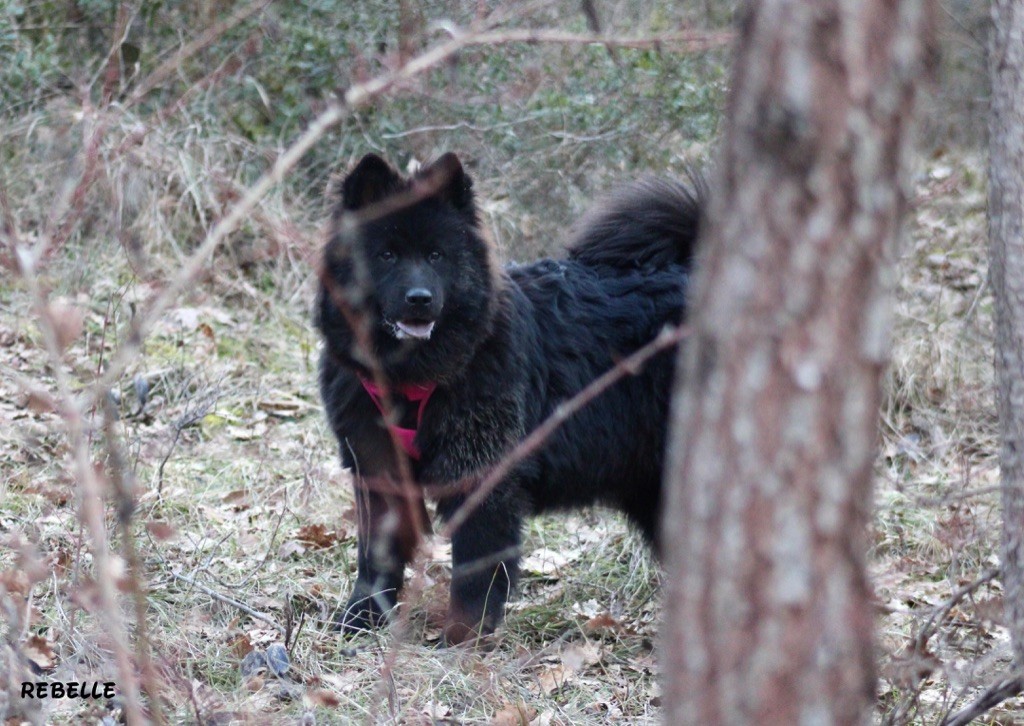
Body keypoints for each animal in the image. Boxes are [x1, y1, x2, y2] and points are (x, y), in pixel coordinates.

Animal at [317, 152, 704, 638]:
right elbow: (376, 555)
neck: (412, 379)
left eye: (436, 255)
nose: (419, 298)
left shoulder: (480, 471)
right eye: (386, 254)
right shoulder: (376, 467)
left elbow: (476, 566)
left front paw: (464, 635)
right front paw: (362, 616)